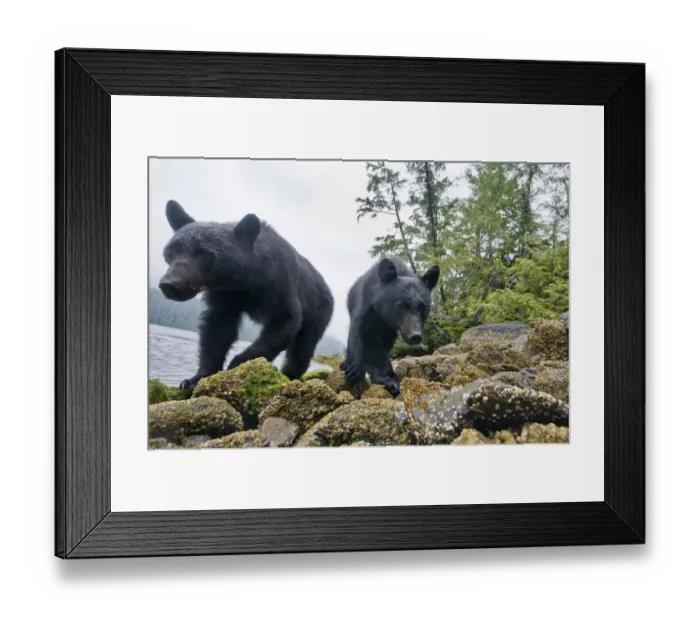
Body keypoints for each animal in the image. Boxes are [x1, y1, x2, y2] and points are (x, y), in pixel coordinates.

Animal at [158, 199, 334, 392]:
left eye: (205, 253)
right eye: (170, 251)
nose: (169, 284)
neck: (245, 281)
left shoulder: (280, 284)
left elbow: (285, 321)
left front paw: (238, 363)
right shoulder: (225, 295)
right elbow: (217, 330)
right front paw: (195, 378)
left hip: (319, 311)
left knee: (303, 346)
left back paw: (290, 374)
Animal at [340, 257, 440, 397]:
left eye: (423, 307)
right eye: (400, 306)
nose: (415, 335)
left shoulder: (391, 329)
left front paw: (389, 378)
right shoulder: (368, 307)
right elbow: (366, 336)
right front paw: (386, 379)